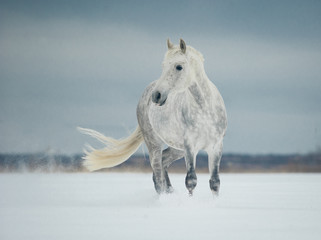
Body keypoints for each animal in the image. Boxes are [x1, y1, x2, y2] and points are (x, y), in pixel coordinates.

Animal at [78, 38, 226, 195]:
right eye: (163, 66)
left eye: (179, 66)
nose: (157, 95)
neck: (204, 109)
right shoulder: (190, 147)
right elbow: (191, 180)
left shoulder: (216, 147)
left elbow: (215, 182)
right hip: (155, 145)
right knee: (158, 176)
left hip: (177, 149)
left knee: (163, 162)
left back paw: (170, 190)